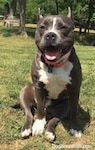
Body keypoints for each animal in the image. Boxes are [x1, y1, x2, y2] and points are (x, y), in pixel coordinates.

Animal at [19, 7, 82, 142]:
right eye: (42, 27)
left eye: (63, 27)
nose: (50, 35)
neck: (53, 65)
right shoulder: (39, 87)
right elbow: (39, 111)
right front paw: (38, 124)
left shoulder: (74, 90)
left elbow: (74, 111)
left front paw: (75, 128)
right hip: (24, 92)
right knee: (29, 113)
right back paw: (27, 128)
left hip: (65, 106)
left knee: (54, 119)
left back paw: (49, 132)